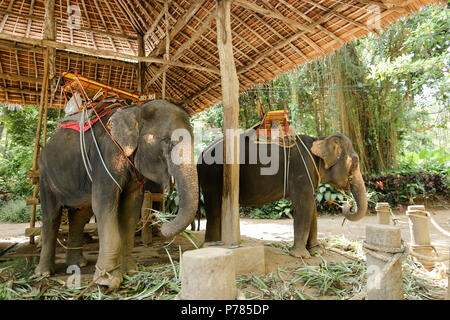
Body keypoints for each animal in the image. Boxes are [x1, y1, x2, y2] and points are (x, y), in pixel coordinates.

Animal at [34, 99, 197, 290]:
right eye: (165, 140)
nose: (163, 226)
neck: (134, 110)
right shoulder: (106, 156)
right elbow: (103, 203)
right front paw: (106, 282)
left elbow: (130, 208)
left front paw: (131, 271)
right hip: (45, 176)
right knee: (51, 217)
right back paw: (43, 272)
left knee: (80, 217)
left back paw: (78, 264)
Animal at [199, 130, 368, 258]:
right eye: (355, 162)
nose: (347, 204)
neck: (319, 139)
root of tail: (202, 152)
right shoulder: (300, 169)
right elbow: (304, 205)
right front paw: (300, 255)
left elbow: (312, 206)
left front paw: (316, 251)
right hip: (212, 174)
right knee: (213, 207)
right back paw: (212, 244)